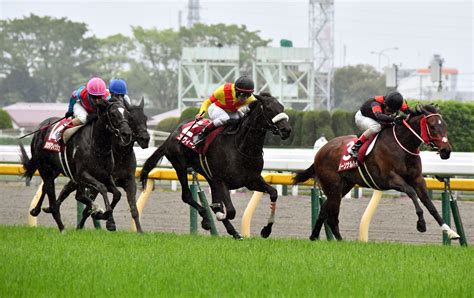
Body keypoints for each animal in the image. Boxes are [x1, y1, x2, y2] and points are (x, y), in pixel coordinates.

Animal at [19, 99, 132, 232]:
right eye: (113, 114)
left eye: (127, 114)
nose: (127, 134)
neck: (97, 146)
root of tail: (41, 127)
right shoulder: (83, 175)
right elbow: (101, 188)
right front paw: (103, 215)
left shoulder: (105, 176)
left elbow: (117, 194)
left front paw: (106, 218)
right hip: (44, 168)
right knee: (53, 197)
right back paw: (62, 228)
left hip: (55, 171)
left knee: (47, 188)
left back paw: (37, 210)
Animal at [39, 96, 150, 232]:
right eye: (132, 119)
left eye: (145, 118)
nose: (145, 139)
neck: (119, 154)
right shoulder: (95, 180)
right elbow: (90, 206)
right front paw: (102, 220)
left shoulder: (128, 181)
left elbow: (132, 207)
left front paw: (139, 231)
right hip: (53, 169)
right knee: (49, 186)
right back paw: (39, 209)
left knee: (67, 190)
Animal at [139, 92, 290, 239]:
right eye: (269, 109)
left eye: (282, 107)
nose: (287, 130)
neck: (241, 147)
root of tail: (170, 136)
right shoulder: (221, 180)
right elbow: (230, 211)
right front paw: (216, 216)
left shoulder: (251, 180)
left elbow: (273, 193)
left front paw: (266, 230)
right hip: (180, 166)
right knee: (186, 196)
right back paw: (207, 220)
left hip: (208, 176)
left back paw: (233, 232)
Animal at [292, 103, 460, 241]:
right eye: (432, 126)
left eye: (445, 125)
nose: (446, 151)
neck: (402, 146)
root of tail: (320, 151)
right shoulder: (391, 179)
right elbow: (412, 193)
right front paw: (421, 224)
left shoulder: (418, 179)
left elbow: (429, 204)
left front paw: (450, 232)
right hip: (332, 187)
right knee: (332, 217)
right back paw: (340, 240)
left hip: (343, 187)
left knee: (324, 211)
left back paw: (314, 237)